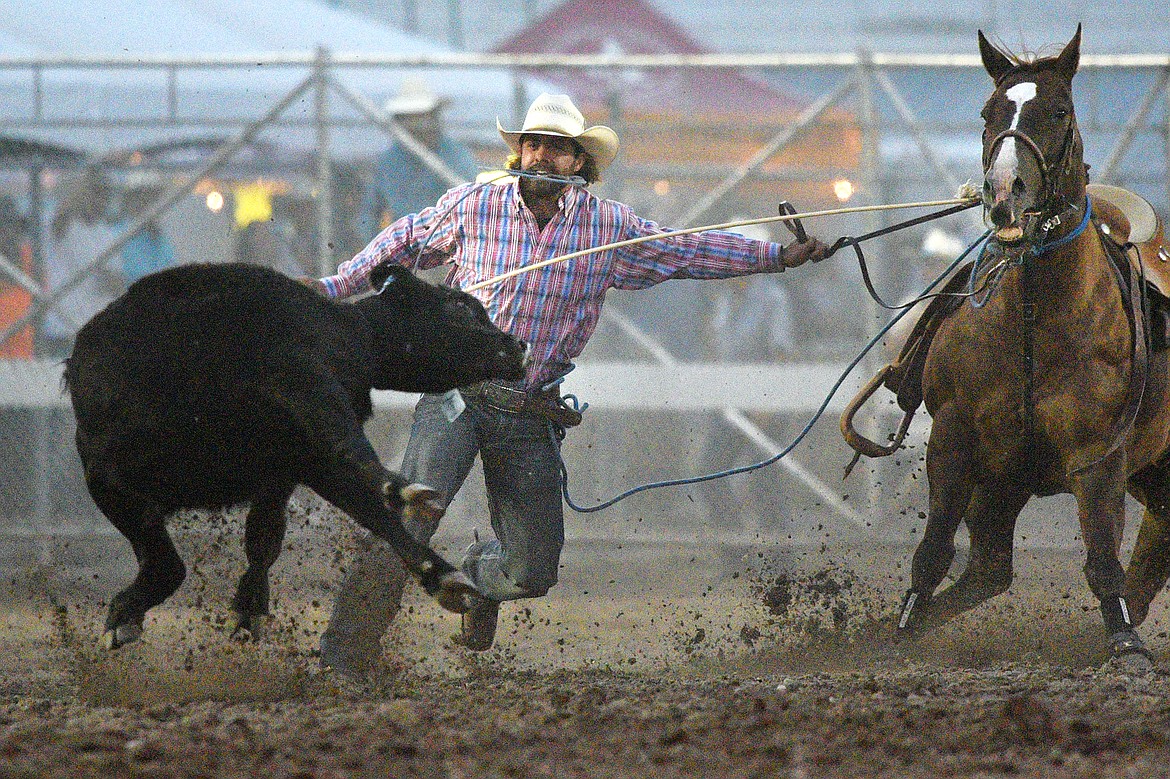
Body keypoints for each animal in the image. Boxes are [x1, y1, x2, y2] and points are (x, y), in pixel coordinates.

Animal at [851, 25, 1170, 669]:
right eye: (988, 112)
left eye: (1059, 110)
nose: (1004, 192)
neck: (1032, 320)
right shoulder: (953, 441)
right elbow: (932, 551)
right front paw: (901, 630)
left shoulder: (1101, 456)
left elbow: (1103, 556)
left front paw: (1124, 645)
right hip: (1016, 479)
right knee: (991, 570)